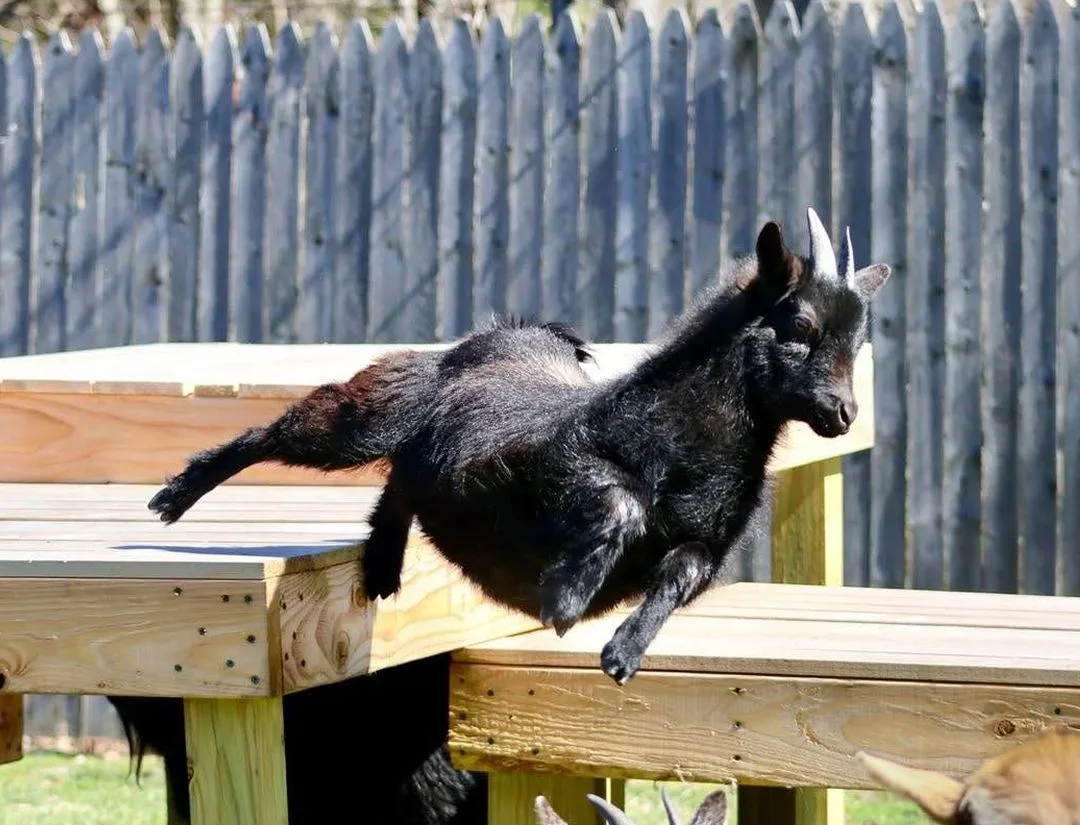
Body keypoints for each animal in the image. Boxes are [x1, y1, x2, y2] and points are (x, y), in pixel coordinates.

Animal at [147, 207, 891, 685]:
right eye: (799, 324)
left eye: (857, 339)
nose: (843, 413)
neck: (682, 438)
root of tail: (504, 333)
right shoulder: (553, 466)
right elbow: (619, 503)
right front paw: (564, 599)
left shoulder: (705, 547)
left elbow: (678, 574)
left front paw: (622, 652)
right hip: (373, 414)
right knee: (282, 431)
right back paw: (173, 498)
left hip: (418, 454)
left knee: (401, 484)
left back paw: (383, 563)